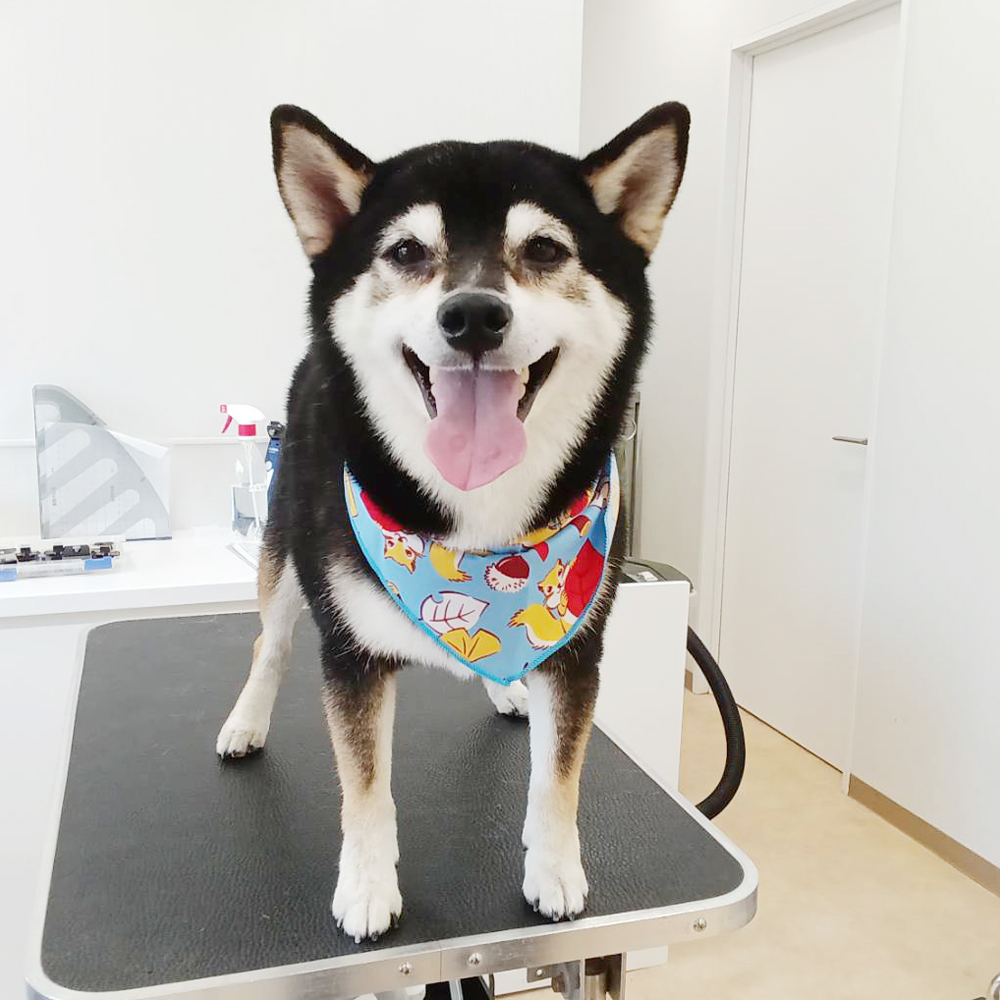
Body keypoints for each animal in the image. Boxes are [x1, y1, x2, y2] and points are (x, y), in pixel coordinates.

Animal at [216, 101, 689, 942]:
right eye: (407, 250)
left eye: (544, 248)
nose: (472, 315)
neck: (478, 531)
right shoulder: (352, 656)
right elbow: (365, 790)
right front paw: (367, 889)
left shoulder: (577, 650)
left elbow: (557, 775)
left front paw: (553, 871)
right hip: (287, 553)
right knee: (270, 644)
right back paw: (246, 721)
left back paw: (506, 691)